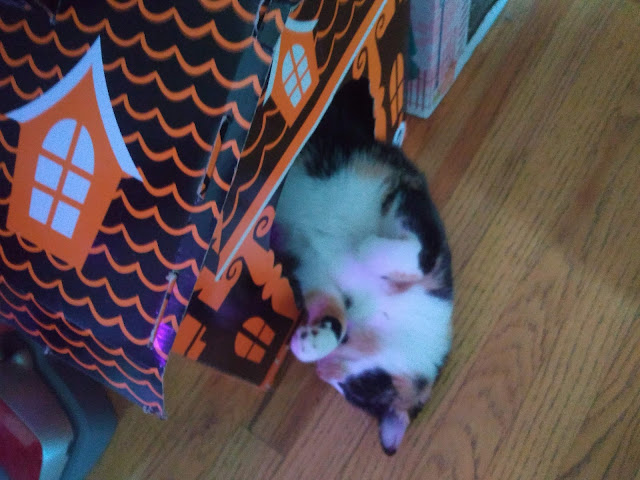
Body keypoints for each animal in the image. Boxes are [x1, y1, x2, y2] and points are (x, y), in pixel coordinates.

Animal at [272, 80, 453, 455]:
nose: (323, 374)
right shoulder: (412, 202)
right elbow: (421, 255)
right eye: (362, 389)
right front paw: (366, 248)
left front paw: (309, 343)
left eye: (352, 394)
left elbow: (332, 311)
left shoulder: (313, 268)